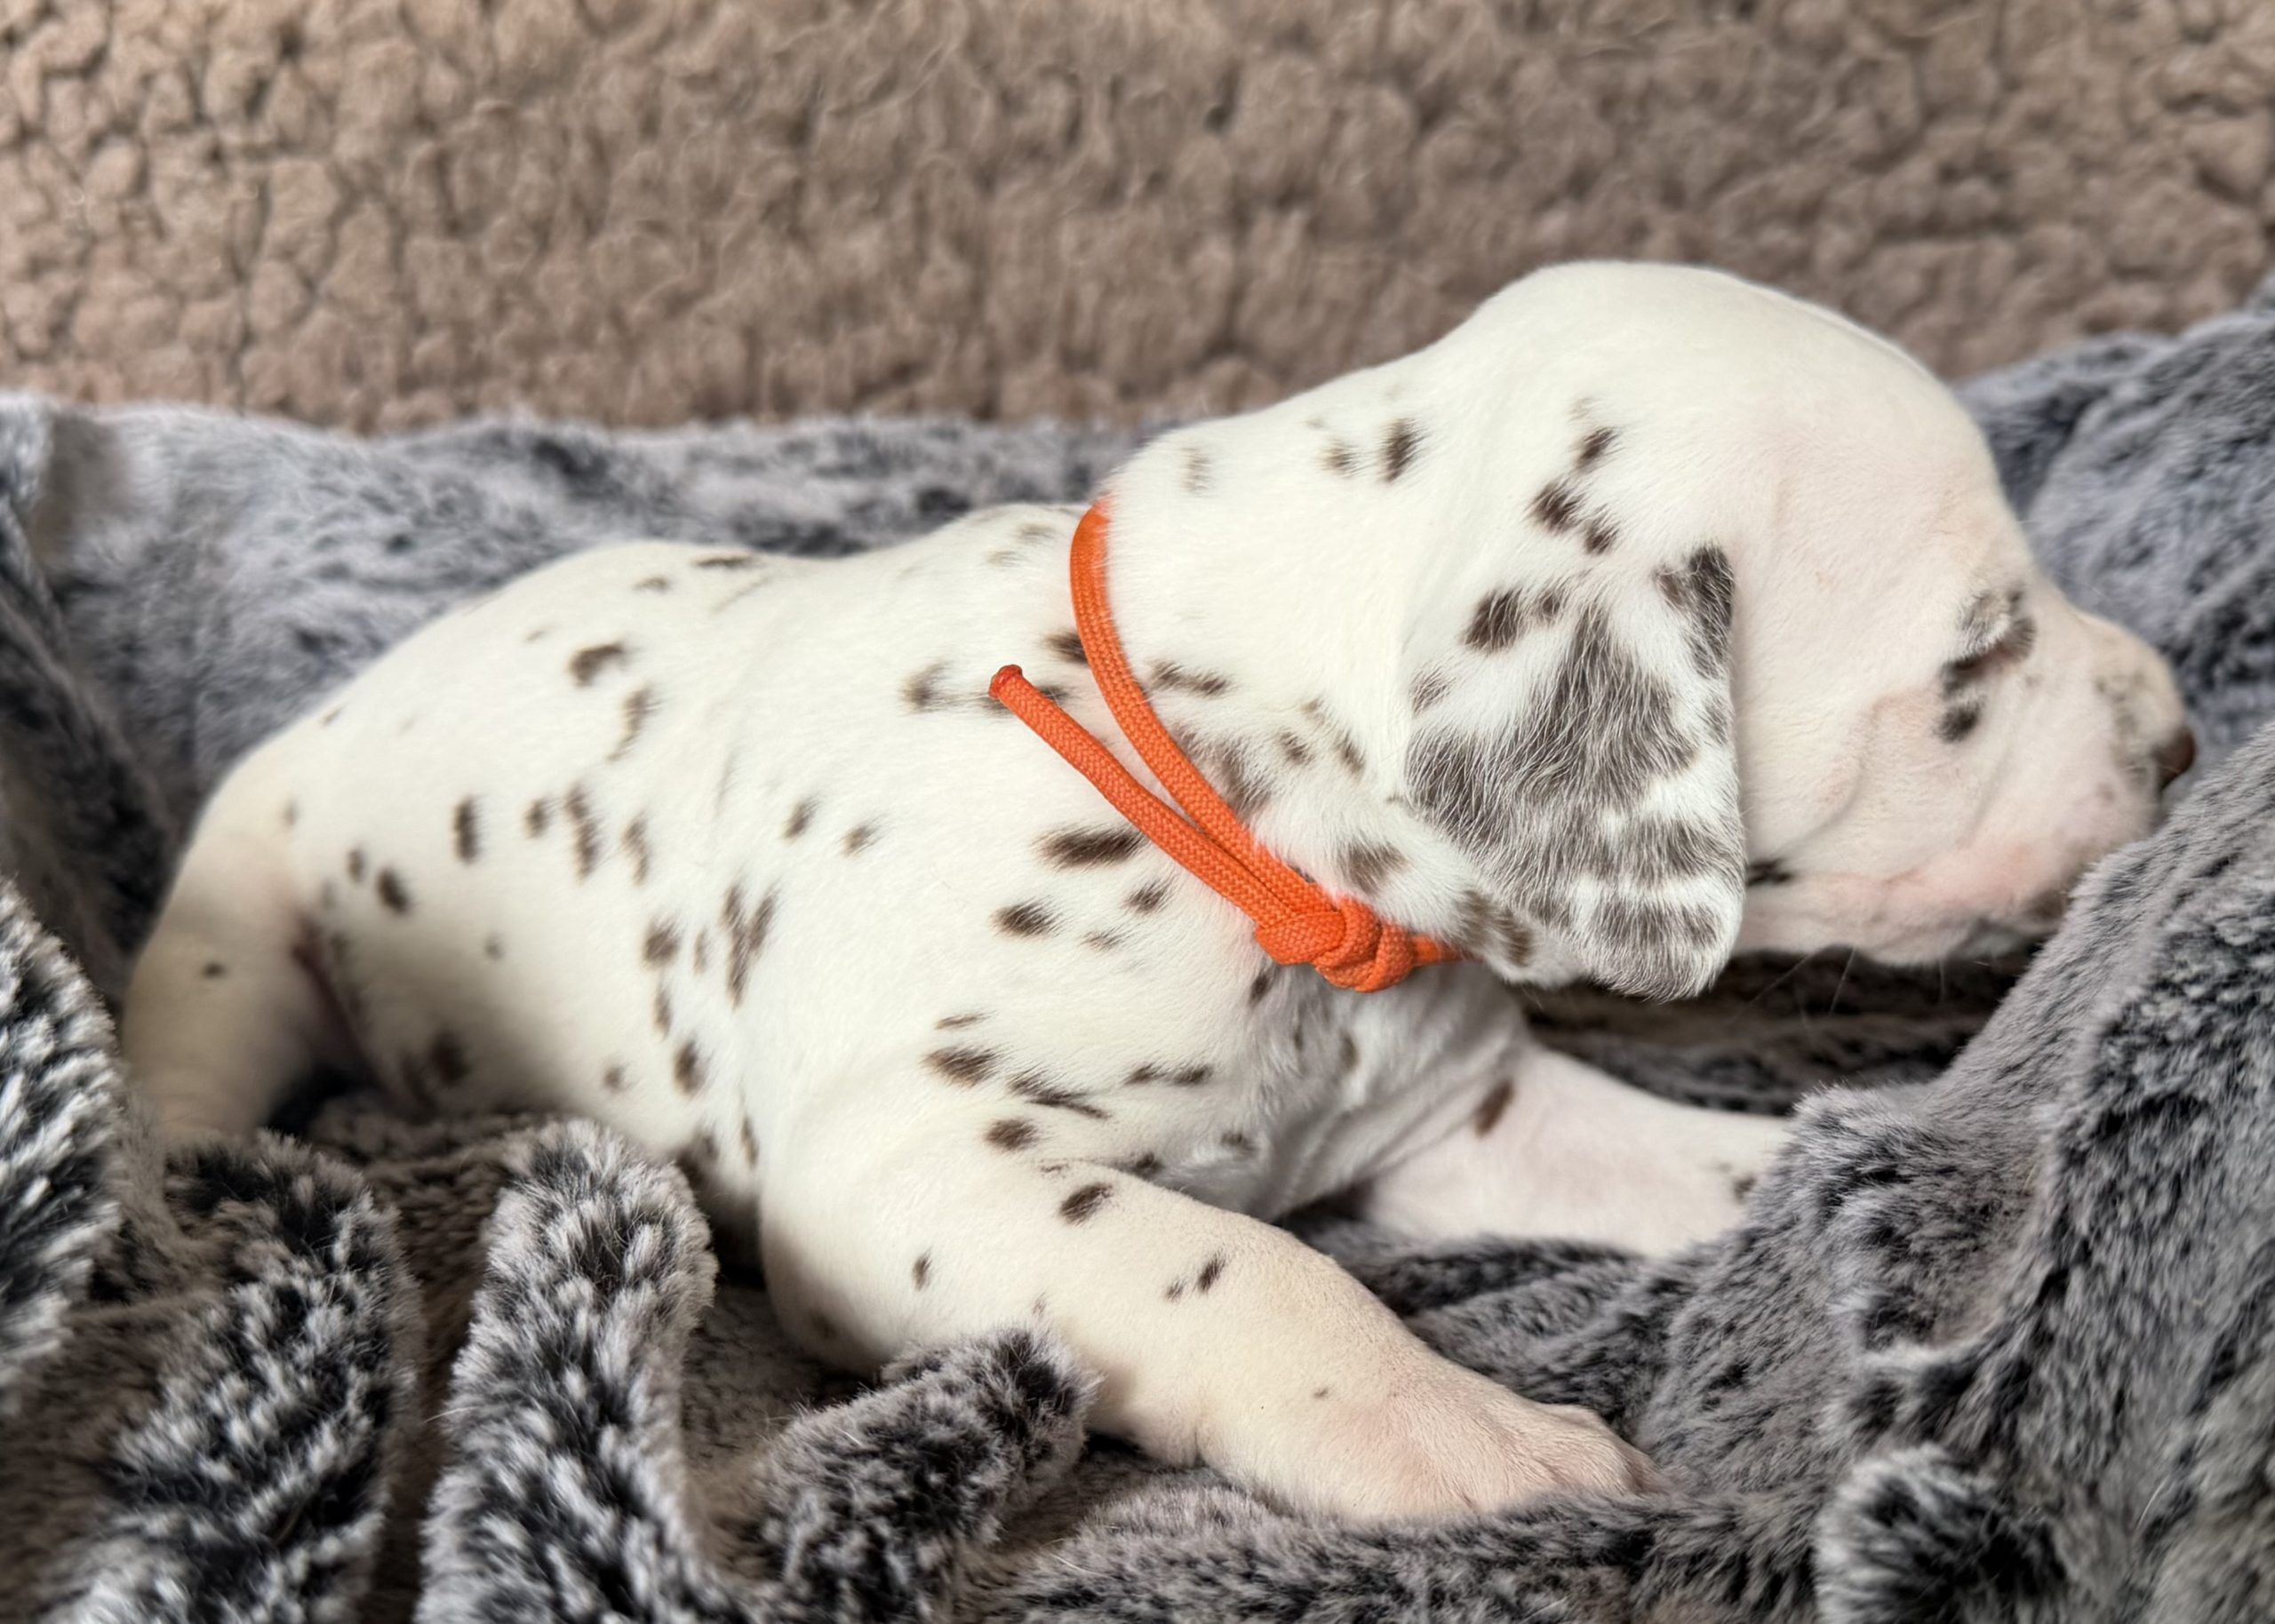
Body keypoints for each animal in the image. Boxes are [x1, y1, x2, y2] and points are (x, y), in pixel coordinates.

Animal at [121, 263, 2193, 1521]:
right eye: (1976, 660)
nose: (2181, 737)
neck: (1234, 809)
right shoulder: (911, 1171)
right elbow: (1248, 1266)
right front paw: (1448, 1428)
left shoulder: (1469, 1120)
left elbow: (1679, 1159)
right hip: (241, 932)